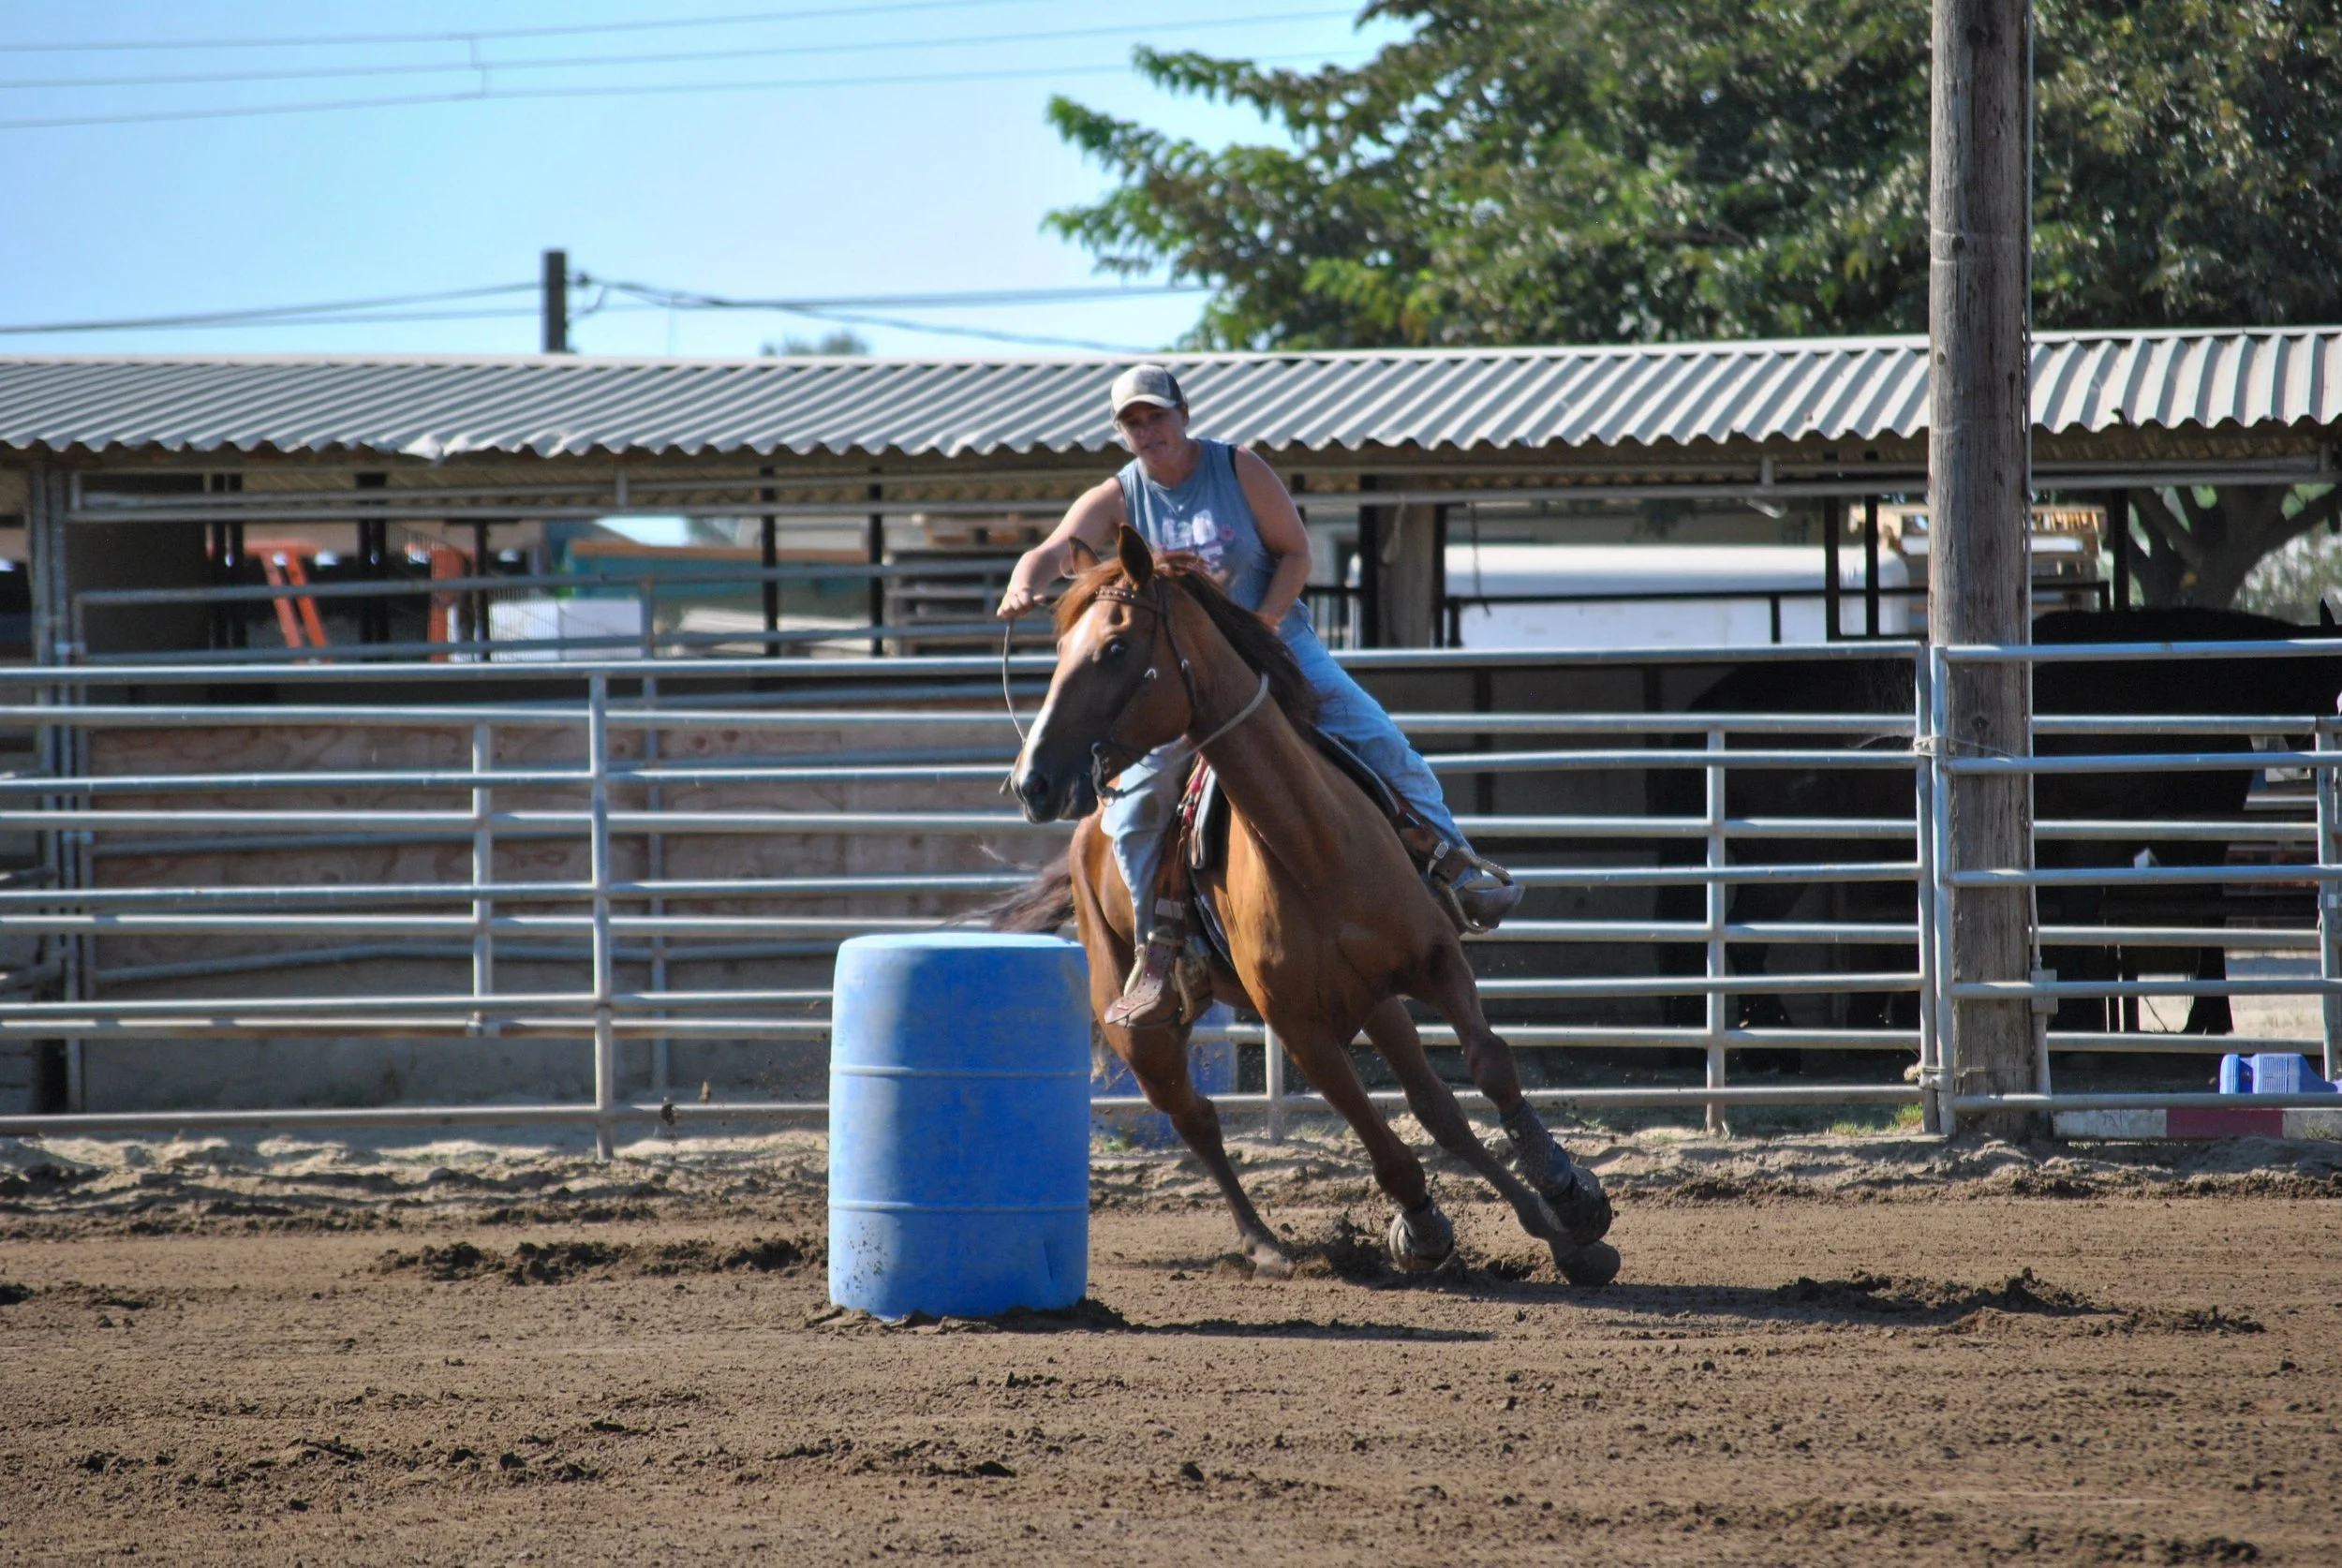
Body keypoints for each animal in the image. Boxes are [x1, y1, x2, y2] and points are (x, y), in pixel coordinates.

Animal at [996, 526, 1619, 1286]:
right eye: (1059, 649)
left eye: (1115, 647)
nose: (1032, 782)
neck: (1312, 844)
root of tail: (1084, 840)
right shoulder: (1300, 1029)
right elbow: (1382, 1145)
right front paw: (1423, 1230)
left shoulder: (1436, 962)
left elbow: (1487, 1068)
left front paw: (1569, 1202)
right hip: (1141, 1037)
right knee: (1196, 1118)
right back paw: (1266, 1246)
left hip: (1375, 999)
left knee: (1434, 1106)